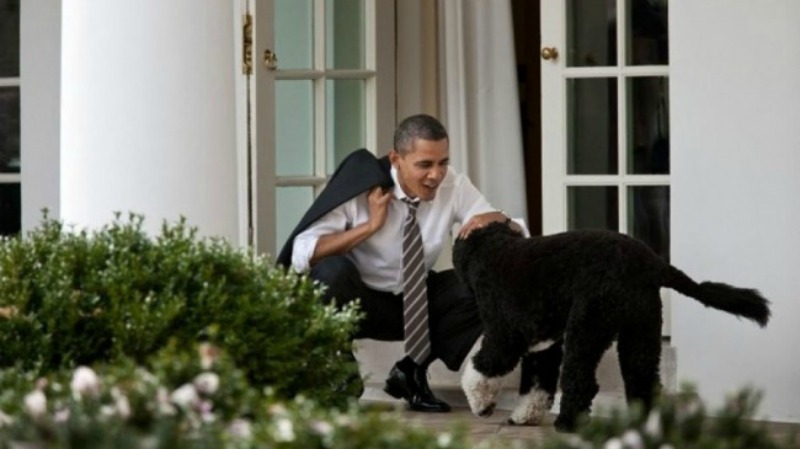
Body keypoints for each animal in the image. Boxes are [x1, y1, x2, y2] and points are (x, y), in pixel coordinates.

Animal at [450, 222, 768, 432]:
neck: (491, 250)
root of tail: (653, 264)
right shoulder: (543, 347)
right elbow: (536, 386)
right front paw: (523, 416)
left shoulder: (504, 338)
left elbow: (479, 371)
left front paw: (481, 406)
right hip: (641, 332)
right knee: (643, 381)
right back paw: (645, 425)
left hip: (587, 327)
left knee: (581, 381)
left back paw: (567, 424)